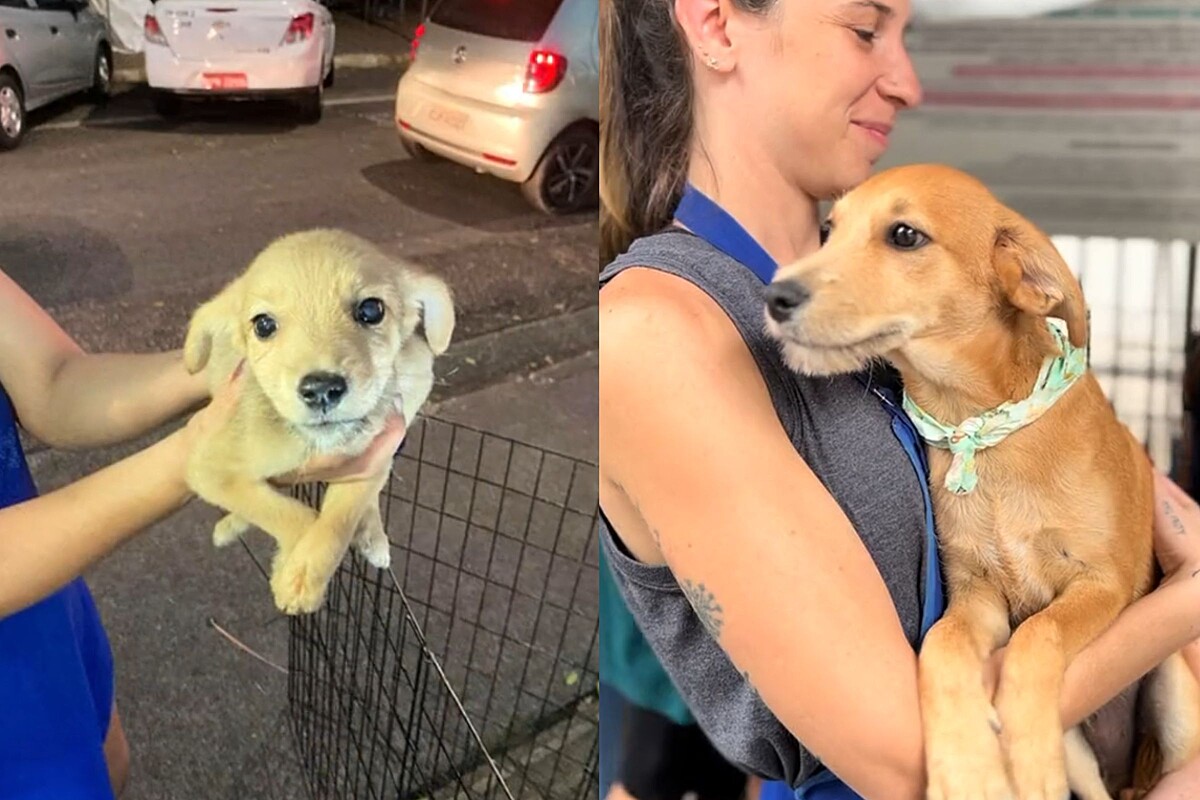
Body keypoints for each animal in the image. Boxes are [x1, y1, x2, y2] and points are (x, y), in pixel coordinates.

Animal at [182, 227, 453, 618]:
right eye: (263, 325)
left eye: (371, 310)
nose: (322, 390)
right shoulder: (208, 468)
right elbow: (293, 514)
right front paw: (290, 573)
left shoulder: (370, 458)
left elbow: (336, 522)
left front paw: (301, 576)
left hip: (418, 373)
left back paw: (372, 536)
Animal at [763, 163, 1195, 800]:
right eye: (827, 231)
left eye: (905, 235)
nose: (775, 298)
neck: (983, 431)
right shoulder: (978, 594)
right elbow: (939, 648)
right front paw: (966, 766)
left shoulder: (1104, 583)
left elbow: (1039, 635)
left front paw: (1028, 756)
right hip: (1084, 752)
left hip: (1175, 691)